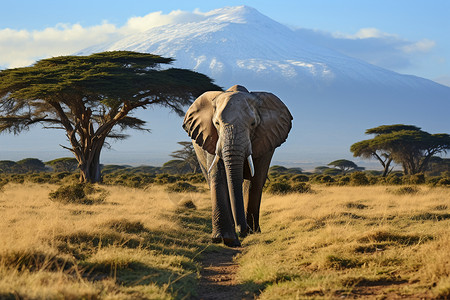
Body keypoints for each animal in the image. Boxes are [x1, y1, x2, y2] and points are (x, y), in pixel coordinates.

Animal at [181, 84, 294, 246]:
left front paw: (250, 233)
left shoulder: (265, 140)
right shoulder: (212, 138)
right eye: (216, 124)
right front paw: (225, 239)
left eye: (253, 124)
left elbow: (256, 180)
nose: (242, 230)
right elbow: (219, 176)